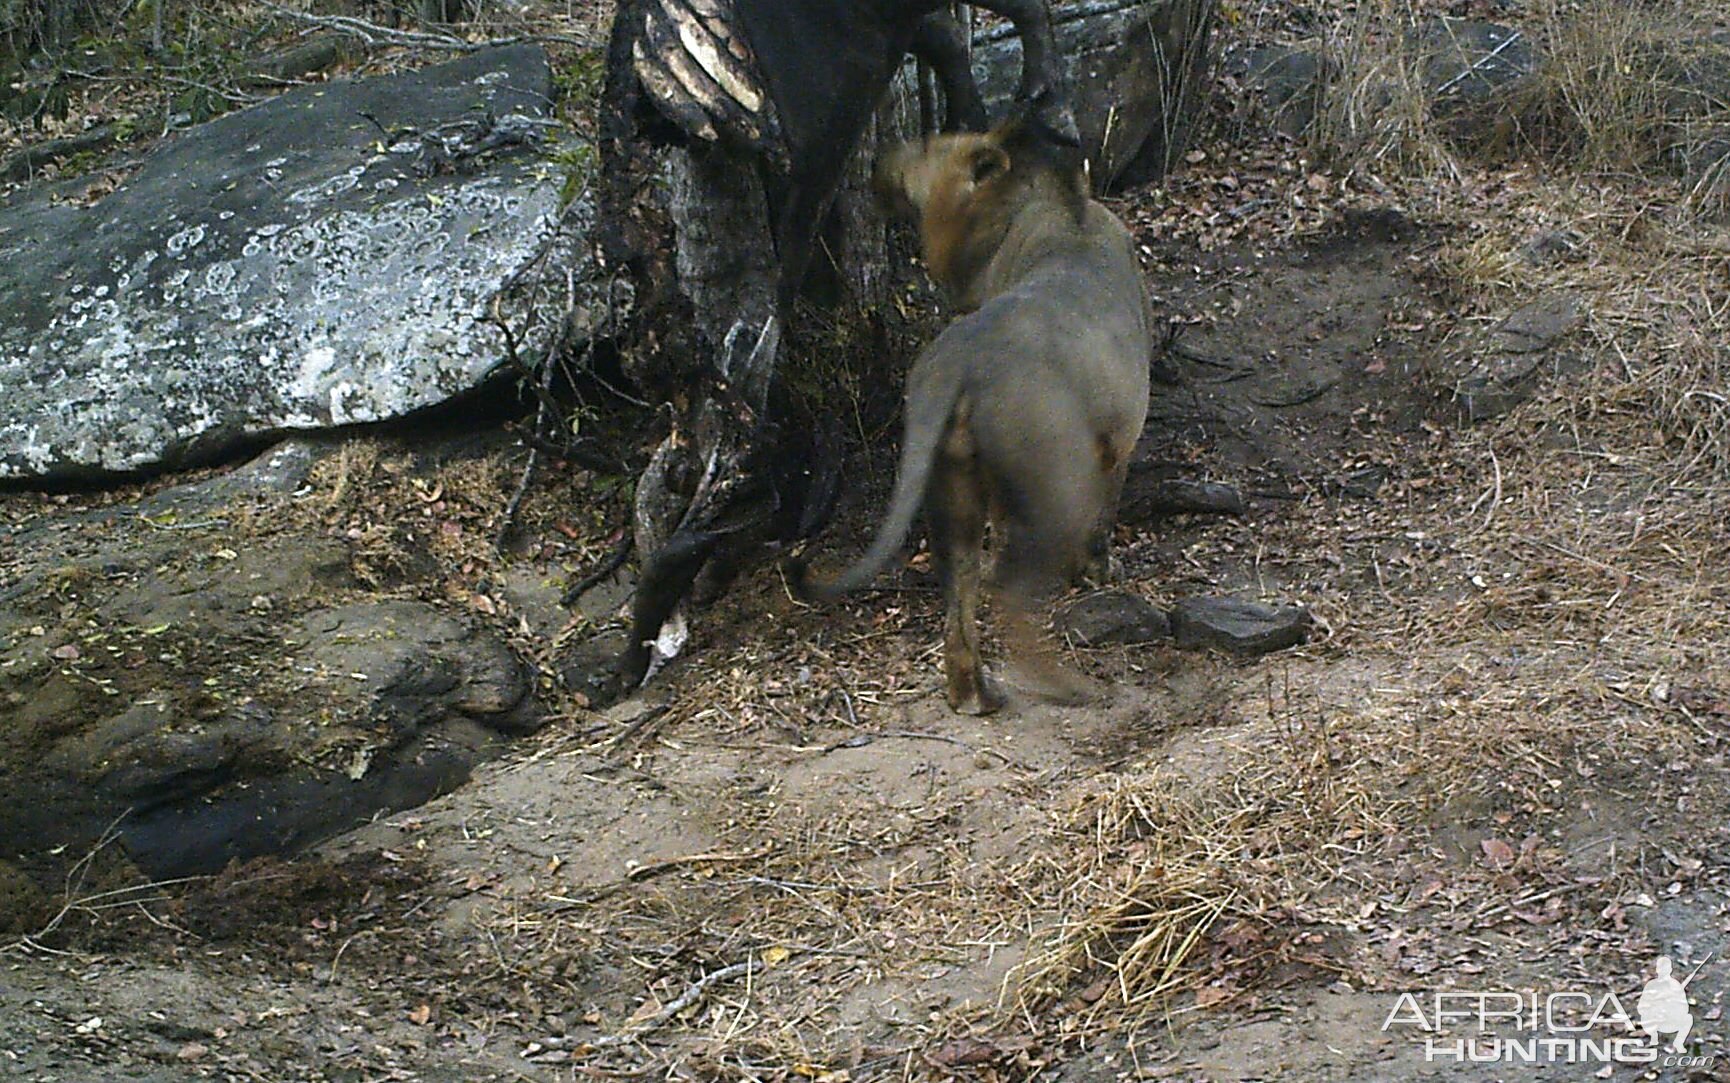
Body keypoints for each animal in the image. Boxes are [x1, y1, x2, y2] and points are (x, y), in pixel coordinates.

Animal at [799, 120, 1155, 709]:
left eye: (925, 147)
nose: (879, 159)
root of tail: (958, 362)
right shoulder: (1116, 444)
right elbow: (1103, 517)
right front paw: (1098, 570)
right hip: (1053, 481)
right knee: (1009, 595)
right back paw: (1068, 686)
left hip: (952, 480)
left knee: (960, 592)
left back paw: (974, 693)